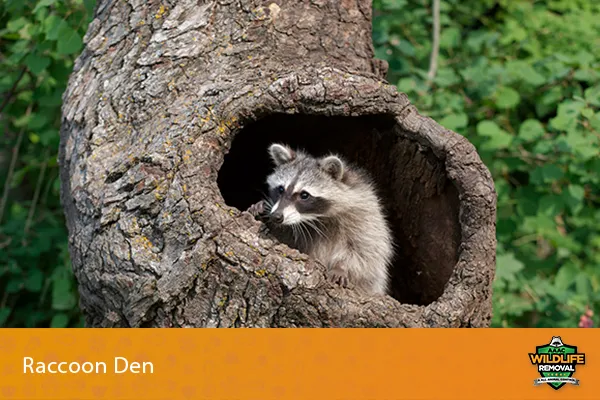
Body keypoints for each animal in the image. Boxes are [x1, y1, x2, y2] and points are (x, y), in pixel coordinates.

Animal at [246, 143, 396, 294]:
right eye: (281, 189)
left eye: (304, 195)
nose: (276, 216)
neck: (315, 219)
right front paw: (261, 210)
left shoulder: (365, 216)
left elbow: (364, 252)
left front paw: (342, 267)